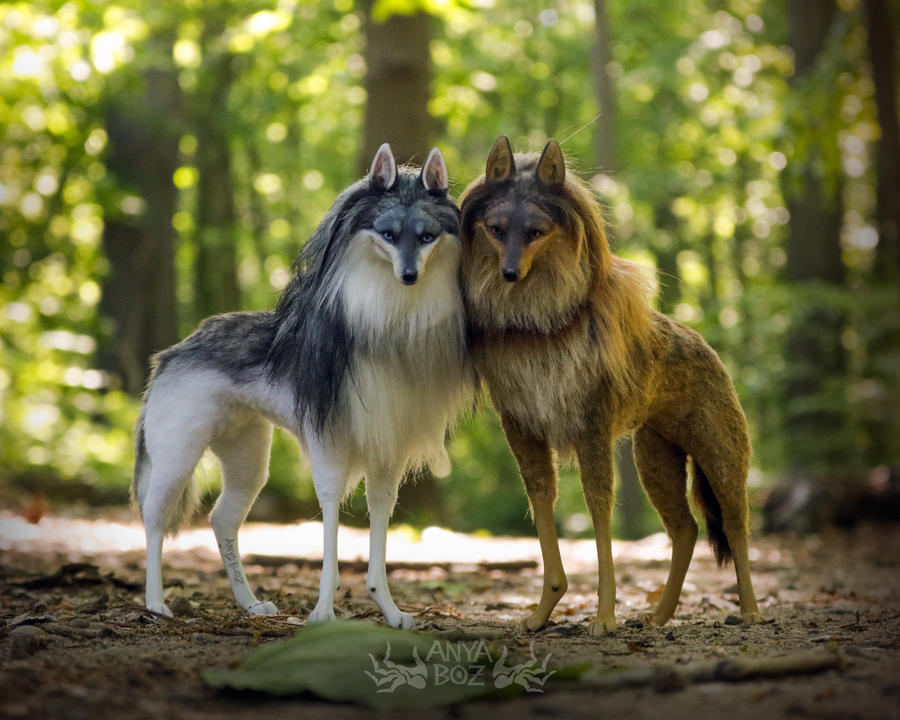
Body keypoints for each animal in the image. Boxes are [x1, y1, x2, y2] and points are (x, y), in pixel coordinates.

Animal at [132, 144, 471, 628]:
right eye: (387, 234)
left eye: (426, 237)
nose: (409, 276)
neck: (390, 320)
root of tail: (174, 352)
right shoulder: (330, 448)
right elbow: (330, 521)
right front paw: (323, 611)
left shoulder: (387, 453)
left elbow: (379, 523)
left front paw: (388, 609)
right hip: (176, 456)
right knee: (155, 522)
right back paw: (155, 603)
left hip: (247, 457)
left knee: (223, 520)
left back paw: (250, 604)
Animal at [459, 136, 761, 636]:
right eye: (497, 229)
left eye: (536, 232)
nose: (510, 273)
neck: (539, 327)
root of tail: (704, 343)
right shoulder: (522, 429)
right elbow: (542, 504)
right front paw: (544, 610)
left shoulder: (592, 429)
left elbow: (599, 512)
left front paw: (604, 616)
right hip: (656, 461)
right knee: (685, 530)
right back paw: (658, 616)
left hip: (721, 461)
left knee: (736, 530)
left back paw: (751, 611)